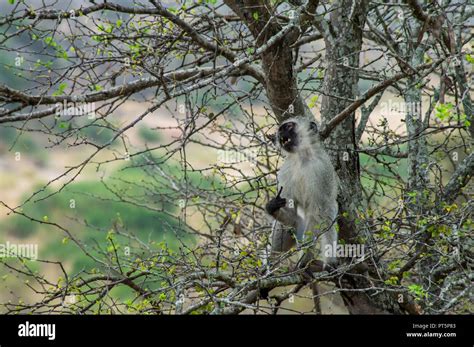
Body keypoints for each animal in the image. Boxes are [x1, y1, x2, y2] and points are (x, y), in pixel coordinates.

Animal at [266, 117, 336, 270]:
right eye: (280, 128)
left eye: (288, 126)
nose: (279, 132)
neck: (302, 157)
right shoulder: (286, 171)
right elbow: (289, 208)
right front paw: (272, 207)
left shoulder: (321, 170)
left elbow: (317, 212)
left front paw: (305, 260)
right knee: (286, 226)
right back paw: (269, 267)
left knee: (327, 220)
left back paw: (328, 264)